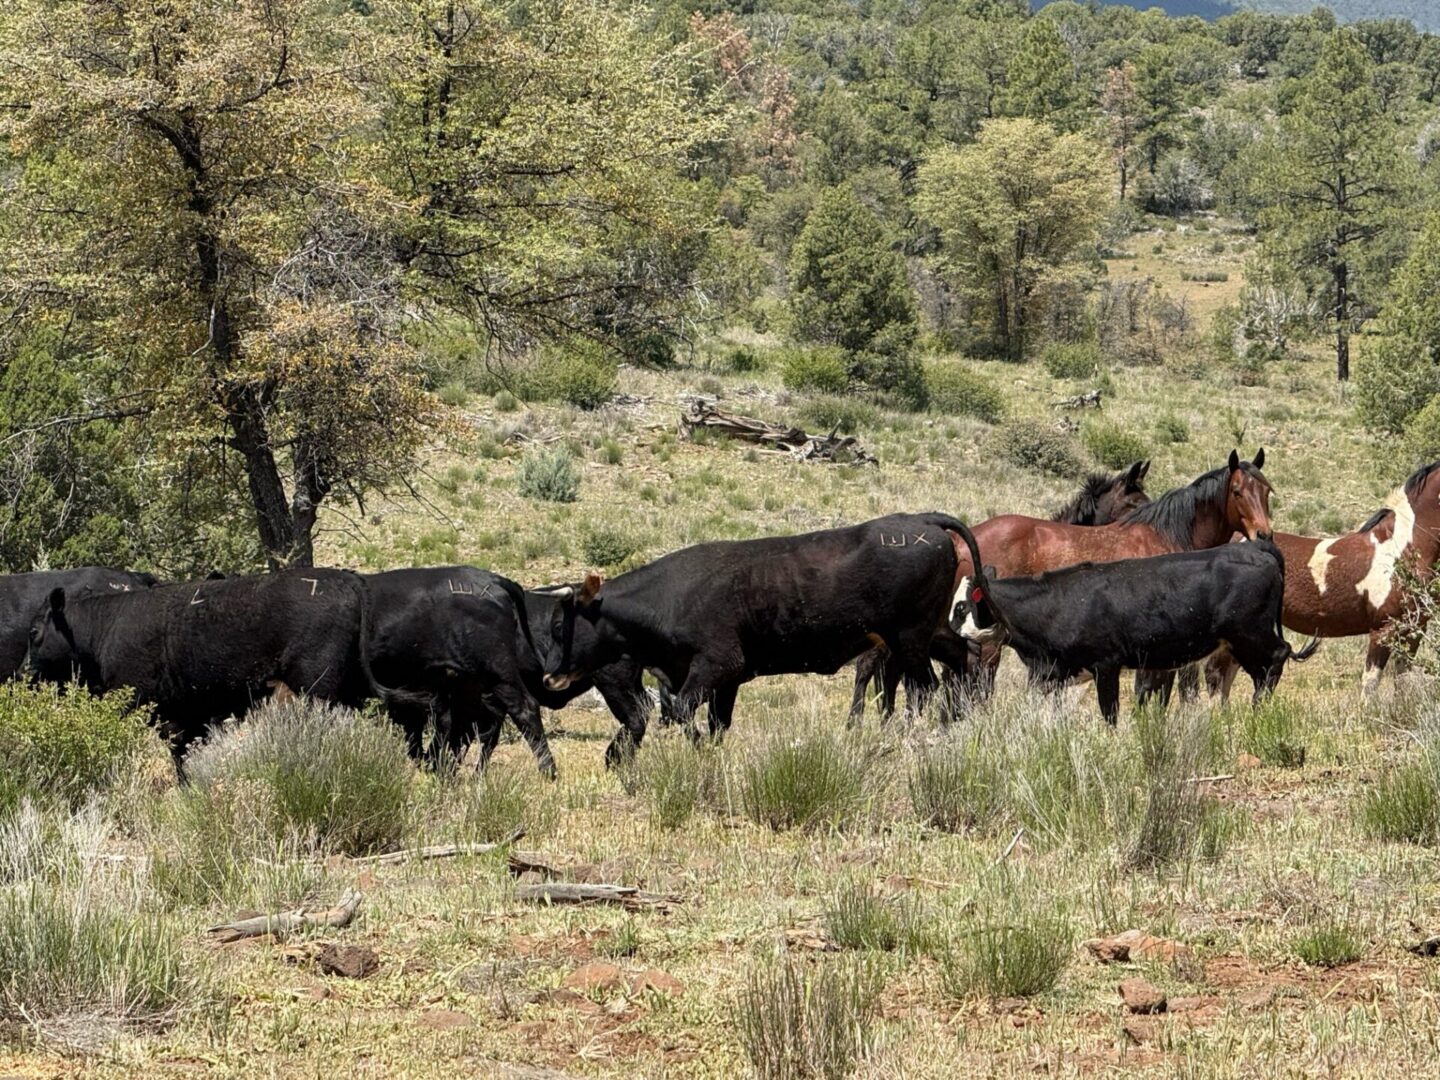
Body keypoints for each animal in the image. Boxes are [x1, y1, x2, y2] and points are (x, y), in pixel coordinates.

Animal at [25, 569, 371, 773]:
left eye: (34, 632)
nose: (23, 672)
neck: (103, 627)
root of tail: (349, 582)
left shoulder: (147, 706)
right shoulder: (191, 714)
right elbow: (184, 753)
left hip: (317, 690)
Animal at [537, 512, 976, 740]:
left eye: (560, 627)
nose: (548, 677)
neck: (669, 598)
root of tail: (920, 520)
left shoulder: (718, 665)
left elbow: (682, 710)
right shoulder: (727, 681)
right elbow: (714, 724)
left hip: (909, 638)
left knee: (924, 686)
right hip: (925, 633)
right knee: (961, 656)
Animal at [954, 529, 1319, 724]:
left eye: (960, 607)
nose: (950, 637)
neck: (1059, 601)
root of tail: (1259, 547)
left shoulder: (1106, 665)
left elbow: (1109, 712)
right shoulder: (1054, 674)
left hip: (1250, 634)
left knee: (1277, 656)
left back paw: (1260, 708)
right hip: (1240, 642)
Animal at [1206, 459, 1440, 700]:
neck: (1399, 548)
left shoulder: (1413, 632)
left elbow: (1403, 683)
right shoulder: (1382, 630)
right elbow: (1370, 685)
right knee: (1215, 674)